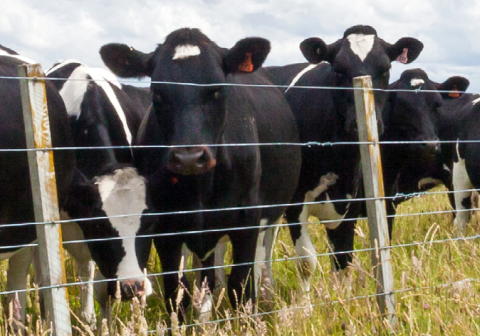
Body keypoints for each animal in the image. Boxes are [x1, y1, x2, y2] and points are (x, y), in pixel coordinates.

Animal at [100, 27, 302, 322]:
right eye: (157, 93)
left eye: (217, 90)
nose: (189, 157)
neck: (200, 188)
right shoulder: (166, 229)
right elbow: (177, 292)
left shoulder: (247, 220)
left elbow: (241, 286)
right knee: (207, 277)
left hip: (272, 216)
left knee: (260, 263)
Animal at [264, 25, 426, 300]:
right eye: (338, 70)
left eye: (386, 69)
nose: (359, 124)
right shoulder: (295, 204)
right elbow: (306, 261)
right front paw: (304, 307)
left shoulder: (351, 203)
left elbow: (343, 260)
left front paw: (343, 302)